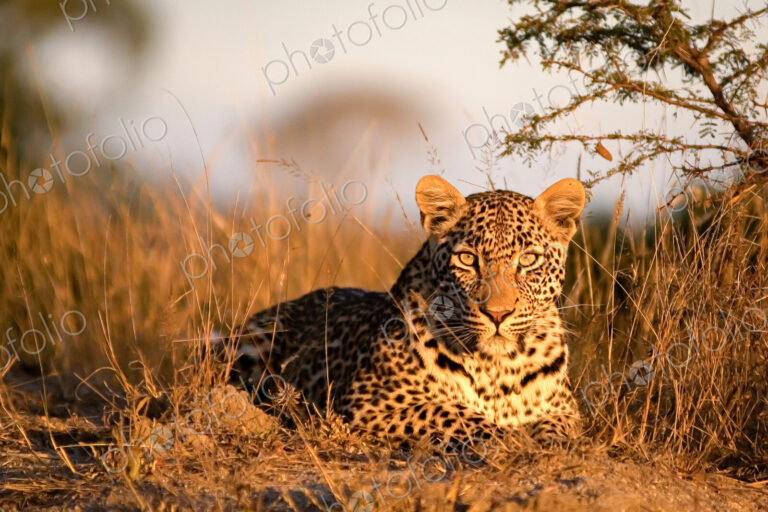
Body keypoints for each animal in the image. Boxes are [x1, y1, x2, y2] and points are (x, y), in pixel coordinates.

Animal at [217, 175, 586, 447]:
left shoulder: (564, 409)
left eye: (529, 260)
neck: (498, 369)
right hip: (254, 344)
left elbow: (560, 427)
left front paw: (547, 440)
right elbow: (451, 413)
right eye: (467, 259)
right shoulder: (366, 405)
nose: (497, 314)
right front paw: (508, 438)